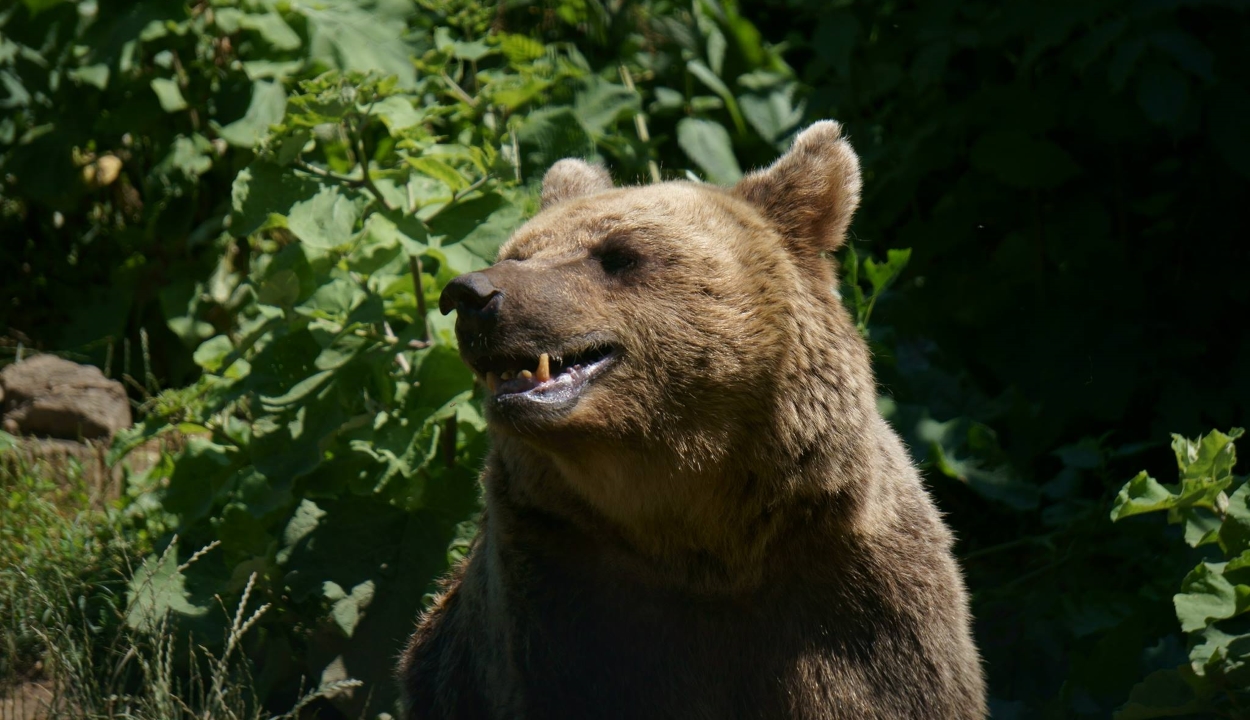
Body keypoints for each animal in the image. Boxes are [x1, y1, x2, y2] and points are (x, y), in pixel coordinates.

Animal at [400, 121, 985, 715]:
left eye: (617, 254)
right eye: (515, 253)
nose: (470, 295)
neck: (700, 536)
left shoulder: (859, 603)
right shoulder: (552, 603)